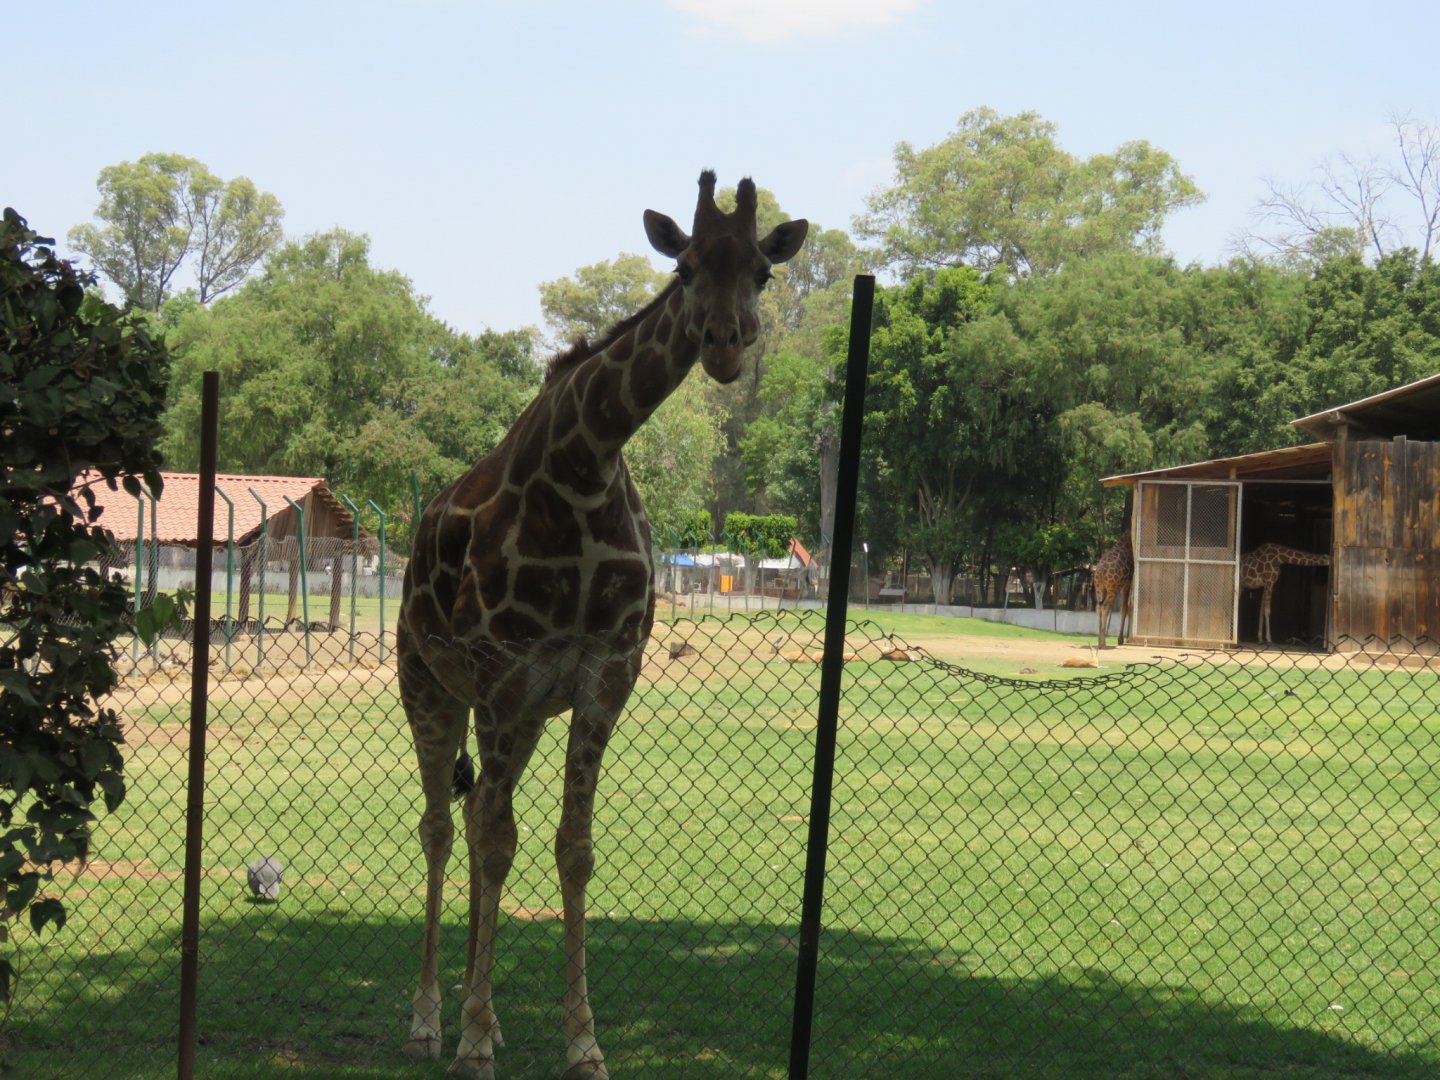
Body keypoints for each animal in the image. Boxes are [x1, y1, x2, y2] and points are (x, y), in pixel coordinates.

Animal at [397, 172, 807, 1080]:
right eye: (684, 265)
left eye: (761, 272)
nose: (725, 345)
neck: (585, 466)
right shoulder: (506, 674)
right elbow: (500, 839)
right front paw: (472, 1042)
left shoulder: (601, 677)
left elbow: (571, 849)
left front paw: (582, 1042)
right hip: (429, 687)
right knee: (444, 825)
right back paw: (432, 1020)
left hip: (515, 714)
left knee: (475, 823)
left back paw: (484, 1016)